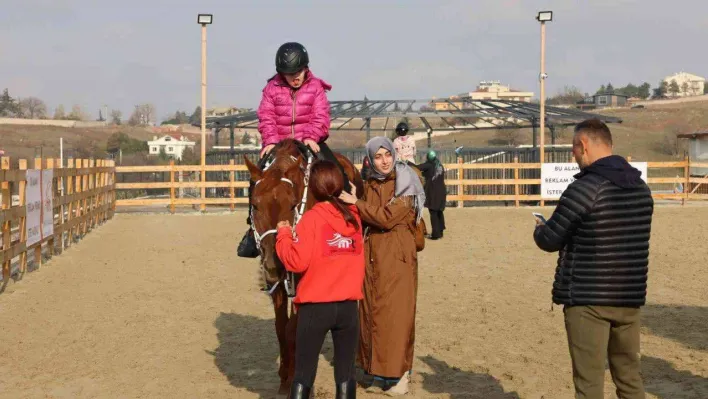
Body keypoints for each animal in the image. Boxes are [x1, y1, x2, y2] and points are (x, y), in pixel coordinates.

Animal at [245, 140, 366, 396]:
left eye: (292, 205)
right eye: (255, 205)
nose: (275, 264)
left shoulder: (303, 281)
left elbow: (295, 330)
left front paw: (295, 381)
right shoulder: (277, 282)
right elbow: (281, 327)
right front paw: (283, 379)